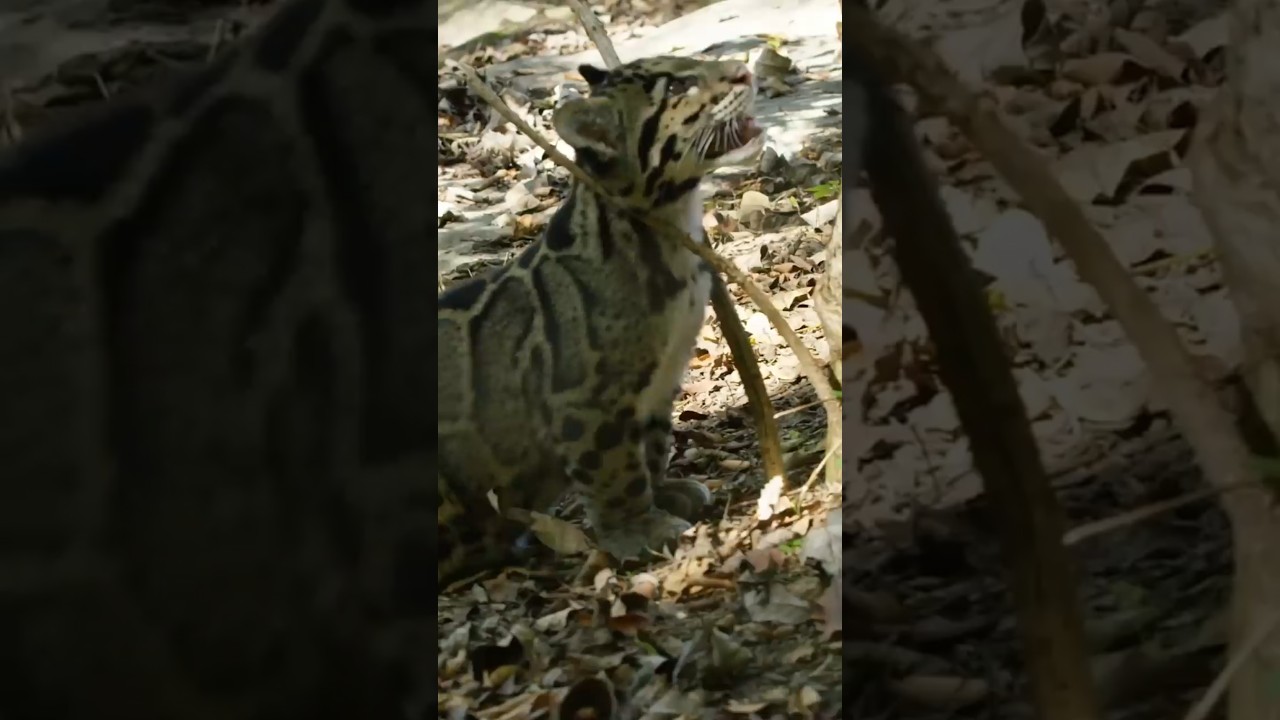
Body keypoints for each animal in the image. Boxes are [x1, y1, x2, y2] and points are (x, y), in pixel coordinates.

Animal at [437, 55, 766, 583]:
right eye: (675, 87)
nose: (743, 72)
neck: (670, 225)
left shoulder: (660, 379)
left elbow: (652, 443)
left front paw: (663, 492)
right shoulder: (586, 398)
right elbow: (615, 468)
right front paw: (639, 528)